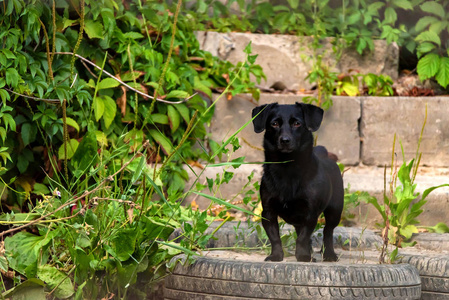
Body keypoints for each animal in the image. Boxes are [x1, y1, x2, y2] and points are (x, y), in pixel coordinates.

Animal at [252, 102, 344, 262]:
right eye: (274, 124)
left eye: (297, 123)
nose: (285, 140)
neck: (287, 168)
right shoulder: (268, 212)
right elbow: (275, 237)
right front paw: (276, 255)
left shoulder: (310, 213)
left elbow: (302, 237)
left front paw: (302, 256)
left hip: (335, 211)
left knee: (328, 231)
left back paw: (329, 254)